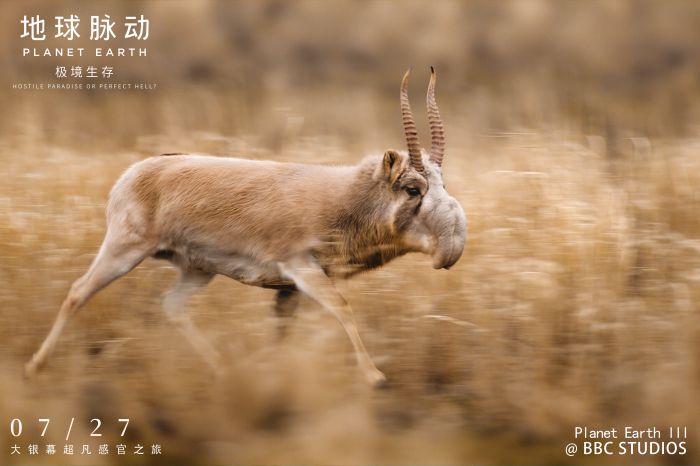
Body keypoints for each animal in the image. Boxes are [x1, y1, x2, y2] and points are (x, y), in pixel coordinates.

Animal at [24, 66, 468, 386]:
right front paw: (375, 377)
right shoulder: (301, 268)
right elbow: (343, 309)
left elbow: (282, 331)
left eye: (442, 183)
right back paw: (35, 366)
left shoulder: (289, 289)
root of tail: (133, 173)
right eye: (412, 188)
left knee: (172, 306)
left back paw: (220, 368)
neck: (343, 196)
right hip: (124, 250)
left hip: (196, 270)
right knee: (78, 292)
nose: (452, 247)